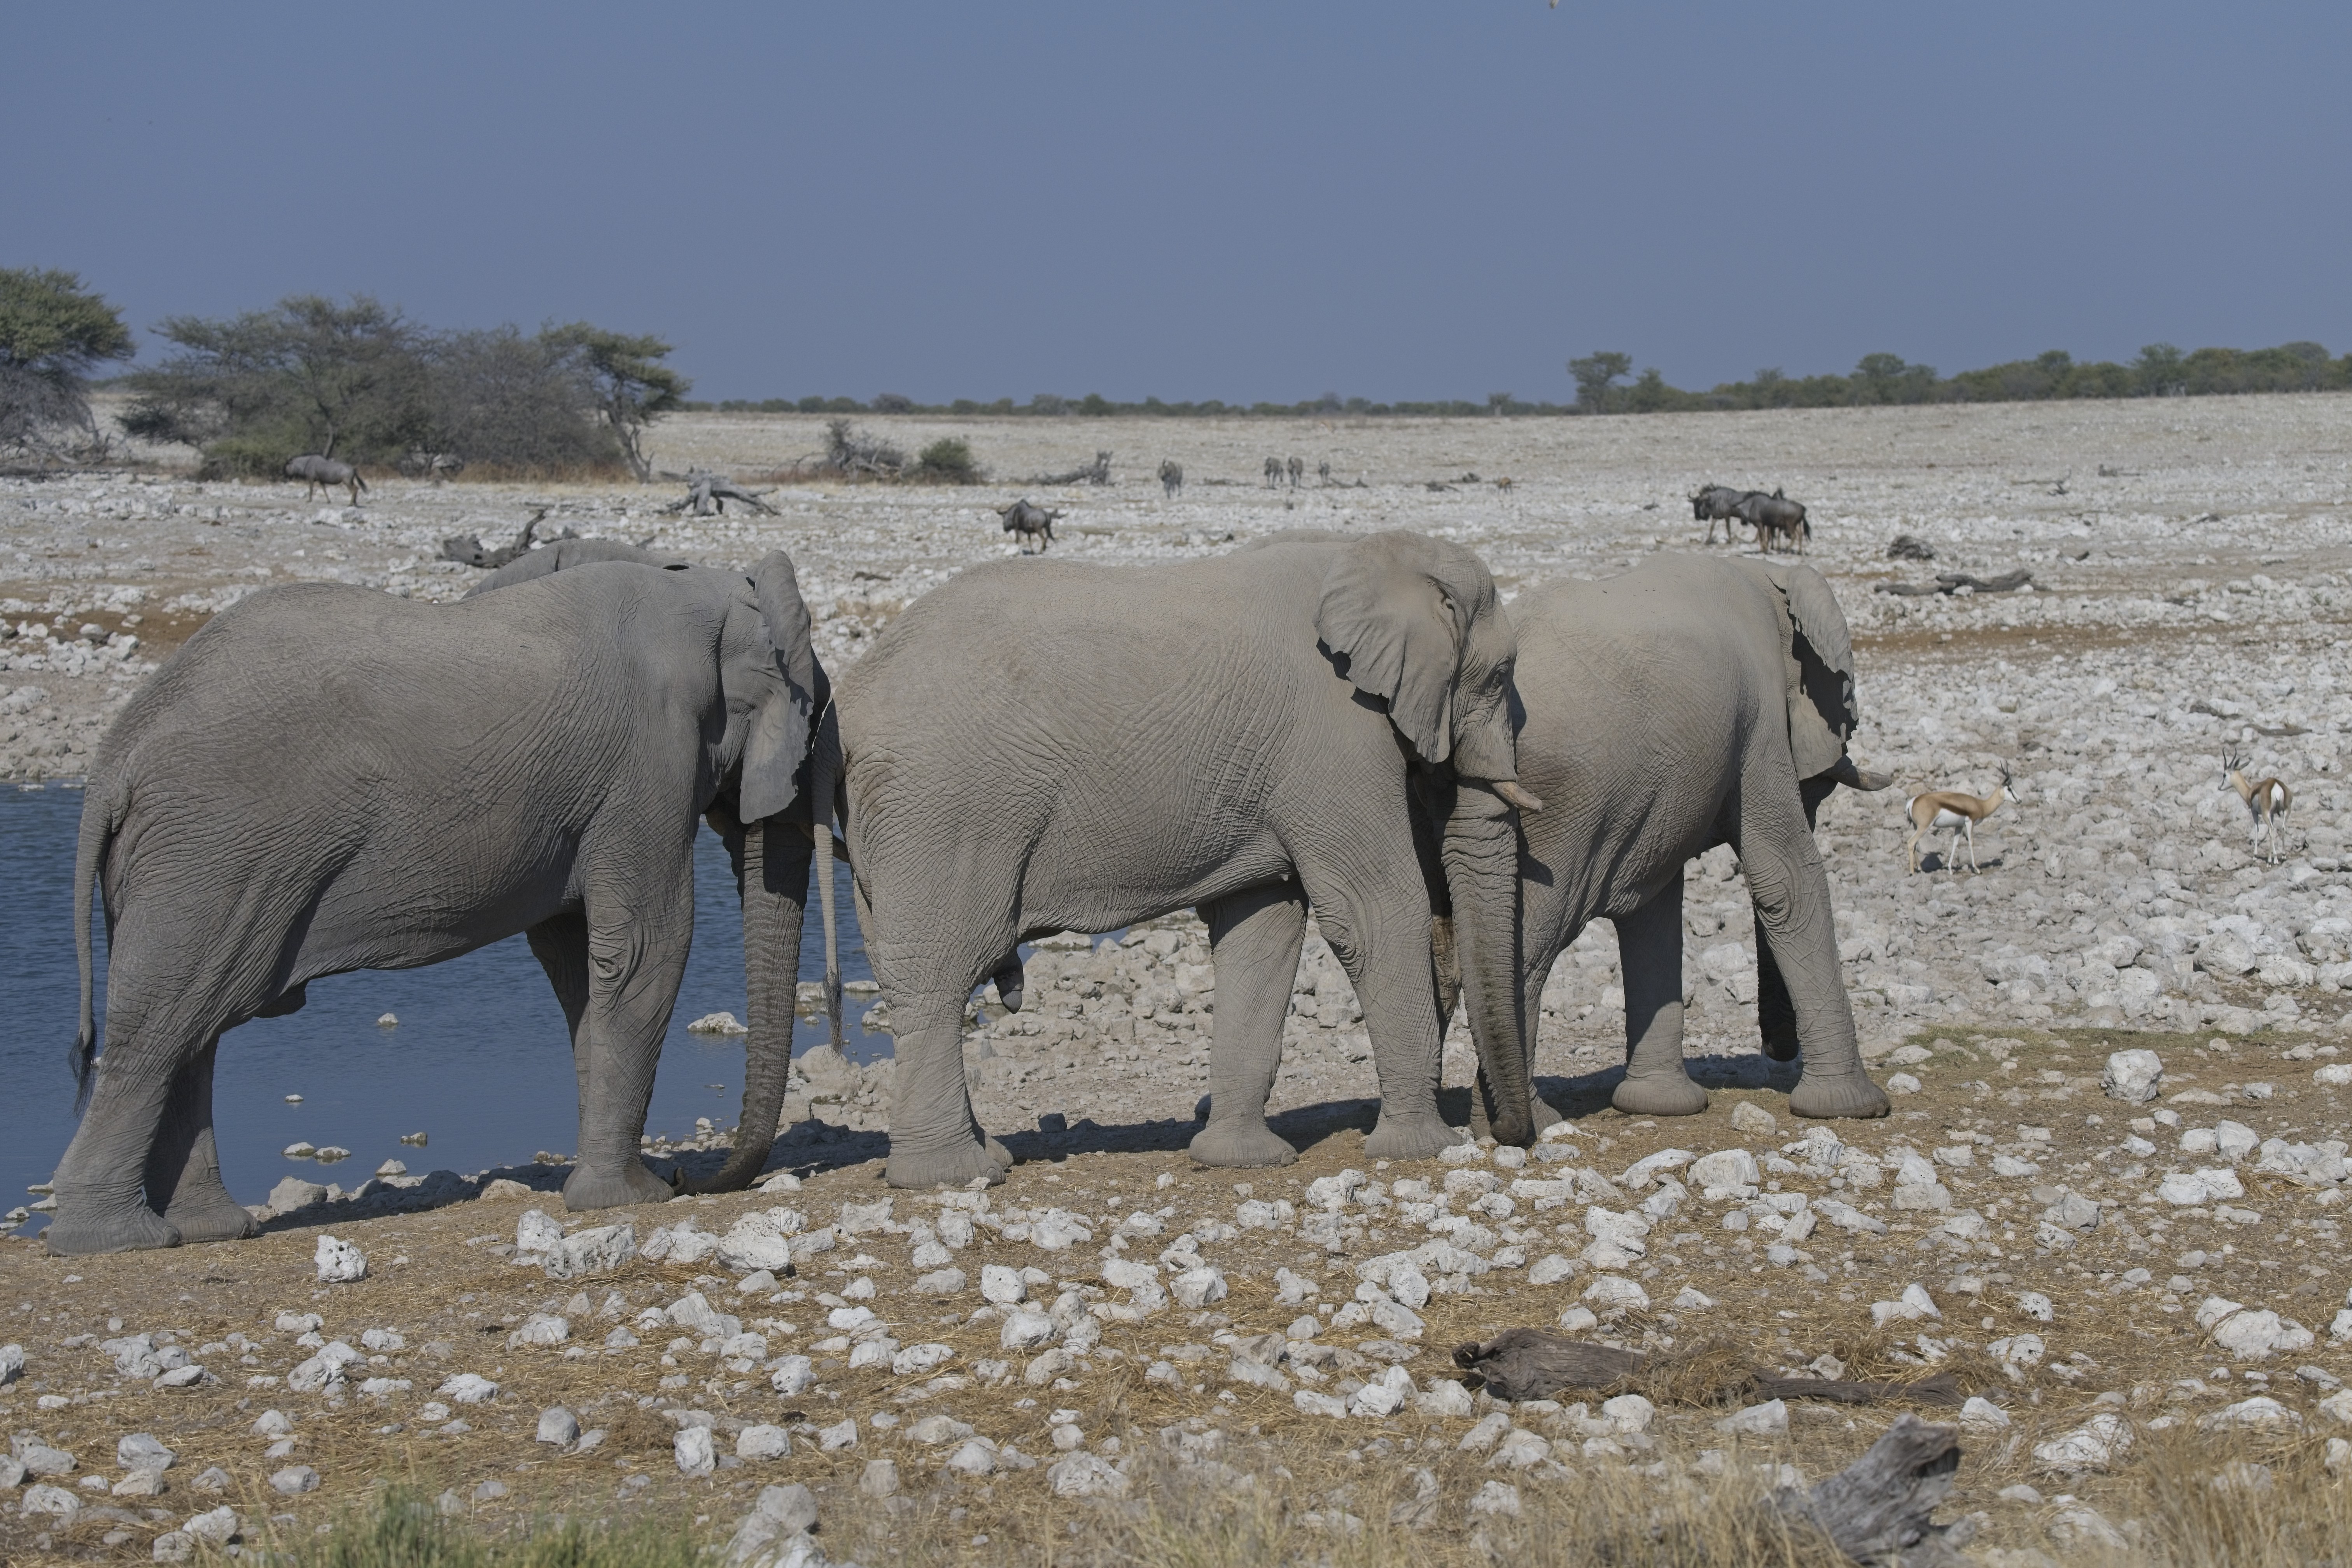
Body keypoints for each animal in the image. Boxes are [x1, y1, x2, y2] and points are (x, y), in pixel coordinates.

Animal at [48, 553, 827, 1254]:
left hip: (189, 863)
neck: (706, 593)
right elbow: (645, 949)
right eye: (814, 729)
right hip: (213, 854)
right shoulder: (647, 764)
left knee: (191, 1027)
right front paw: (629, 1200)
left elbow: (577, 961)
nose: (690, 1178)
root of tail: (114, 756)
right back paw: (114, 1241)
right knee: (166, 1025)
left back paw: (211, 1230)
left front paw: (617, 1188)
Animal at [816, 529, 1542, 1189]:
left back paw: (985, 1157)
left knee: (907, 970)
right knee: (940, 974)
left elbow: (1263, 925)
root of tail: (847, 703)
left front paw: (1242, 1160)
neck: (1373, 552)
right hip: (943, 809)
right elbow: (1374, 910)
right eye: (1501, 674)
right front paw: (1426, 1148)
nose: (1510, 1135)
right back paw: (952, 1176)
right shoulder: (1337, 734)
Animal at [1456, 552, 1892, 1128]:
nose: (1778, 1049)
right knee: (1530, 944)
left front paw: (1660, 1107)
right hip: (1557, 801)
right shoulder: (1760, 724)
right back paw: (1531, 1124)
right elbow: (1787, 879)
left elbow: (1653, 908)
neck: (1771, 576)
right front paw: (1856, 1108)